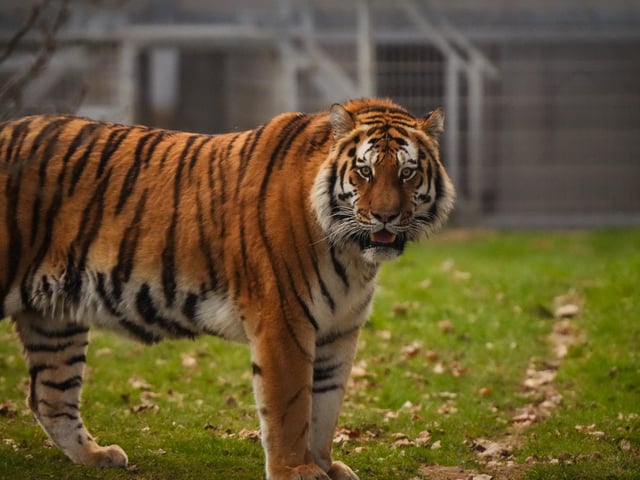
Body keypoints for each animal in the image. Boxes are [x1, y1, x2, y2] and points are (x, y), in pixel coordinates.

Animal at [0, 98, 454, 480]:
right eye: (365, 171)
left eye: (407, 172)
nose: (385, 216)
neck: (352, 254)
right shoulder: (284, 321)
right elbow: (291, 407)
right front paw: (296, 471)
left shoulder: (339, 330)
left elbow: (325, 404)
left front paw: (325, 466)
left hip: (55, 318)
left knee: (50, 396)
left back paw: (96, 456)